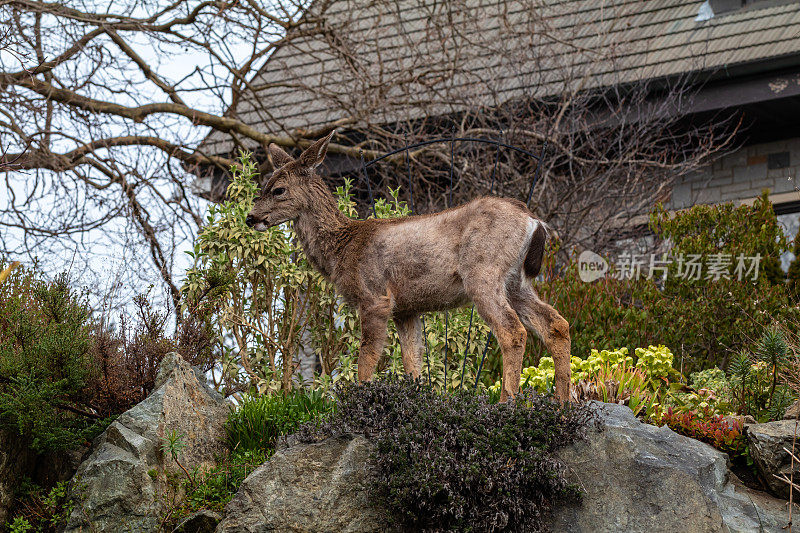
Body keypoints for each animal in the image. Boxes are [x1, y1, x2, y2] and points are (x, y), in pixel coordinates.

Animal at [247, 131, 572, 402]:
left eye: (278, 189)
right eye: (263, 185)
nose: (250, 217)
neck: (343, 247)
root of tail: (533, 220)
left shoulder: (375, 297)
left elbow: (366, 362)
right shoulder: (406, 309)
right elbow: (412, 363)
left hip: (483, 271)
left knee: (512, 331)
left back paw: (507, 403)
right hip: (516, 281)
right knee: (556, 324)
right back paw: (563, 404)